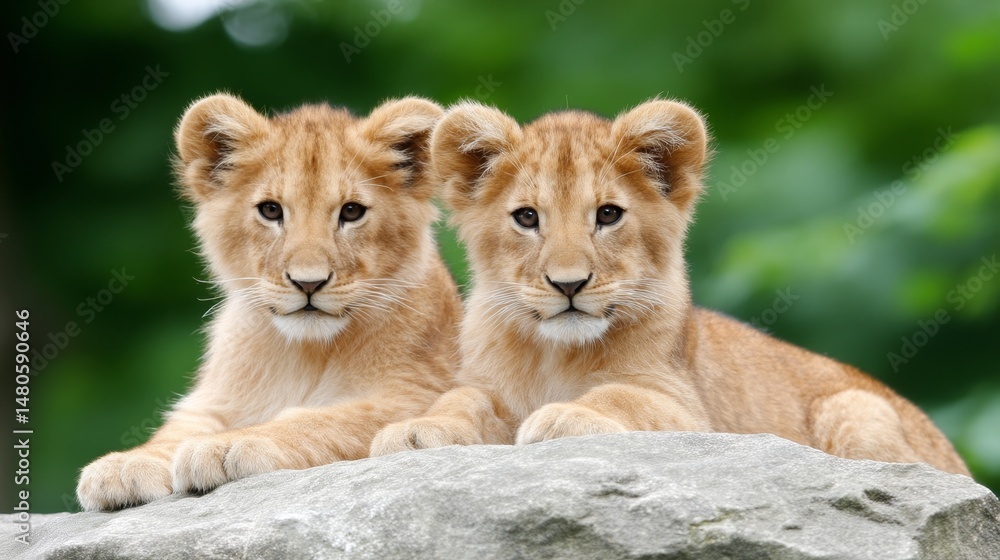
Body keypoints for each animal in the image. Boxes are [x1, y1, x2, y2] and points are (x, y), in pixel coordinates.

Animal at [76, 94, 462, 511]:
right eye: (271, 210)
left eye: (352, 211)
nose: (308, 283)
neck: (304, 353)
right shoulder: (214, 400)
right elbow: (174, 432)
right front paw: (124, 464)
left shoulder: (416, 392)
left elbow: (314, 421)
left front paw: (226, 445)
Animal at [370, 99, 969, 476]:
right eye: (526, 218)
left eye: (608, 215)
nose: (569, 284)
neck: (554, 355)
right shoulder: (486, 385)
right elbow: (461, 399)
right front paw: (416, 429)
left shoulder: (688, 411)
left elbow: (622, 395)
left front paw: (563, 415)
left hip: (857, 408)